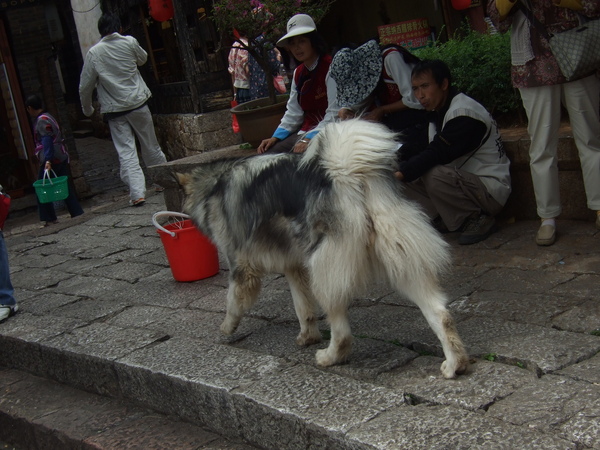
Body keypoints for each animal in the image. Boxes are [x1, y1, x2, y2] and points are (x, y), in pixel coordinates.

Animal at [177, 119, 468, 380]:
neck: (213, 185)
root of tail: (347, 173)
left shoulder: (241, 266)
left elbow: (232, 302)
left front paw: (226, 329)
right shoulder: (293, 268)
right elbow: (303, 308)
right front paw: (307, 337)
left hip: (325, 271)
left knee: (342, 333)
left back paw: (329, 357)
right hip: (403, 264)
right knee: (441, 314)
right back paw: (455, 363)